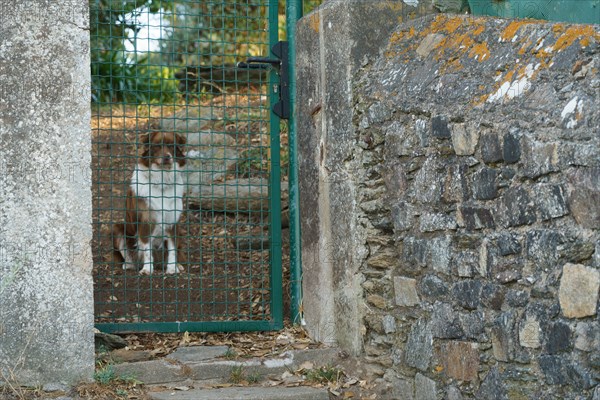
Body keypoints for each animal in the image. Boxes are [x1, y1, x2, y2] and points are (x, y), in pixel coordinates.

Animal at [112, 132, 188, 276]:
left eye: (171, 146)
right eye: (157, 146)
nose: (167, 157)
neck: (162, 180)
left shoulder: (172, 221)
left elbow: (172, 248)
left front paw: (172, 268)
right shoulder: (146, 221)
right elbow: (147, 249)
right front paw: (147, 269)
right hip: (119, 229)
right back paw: (129, 265)